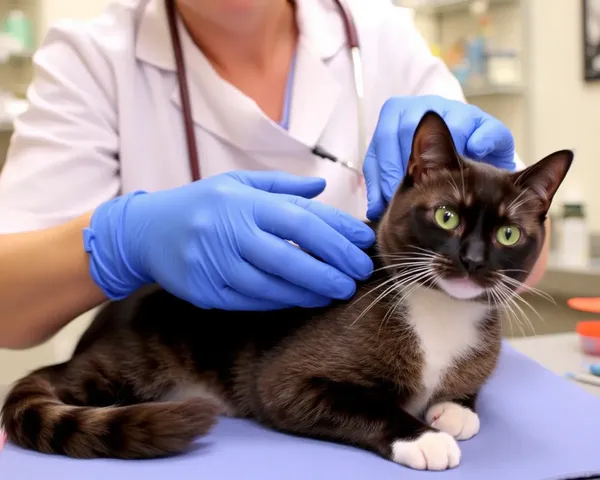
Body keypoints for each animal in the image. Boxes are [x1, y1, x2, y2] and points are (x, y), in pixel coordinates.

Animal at [0, 110, 572, 470]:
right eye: (446, 215)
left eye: (508, 235)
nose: (472, 261)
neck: (440, 311)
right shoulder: (287, 383)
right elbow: (356, 403)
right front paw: (423, 437)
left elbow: (468, 390)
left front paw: (454, 409)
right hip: (131, 365)